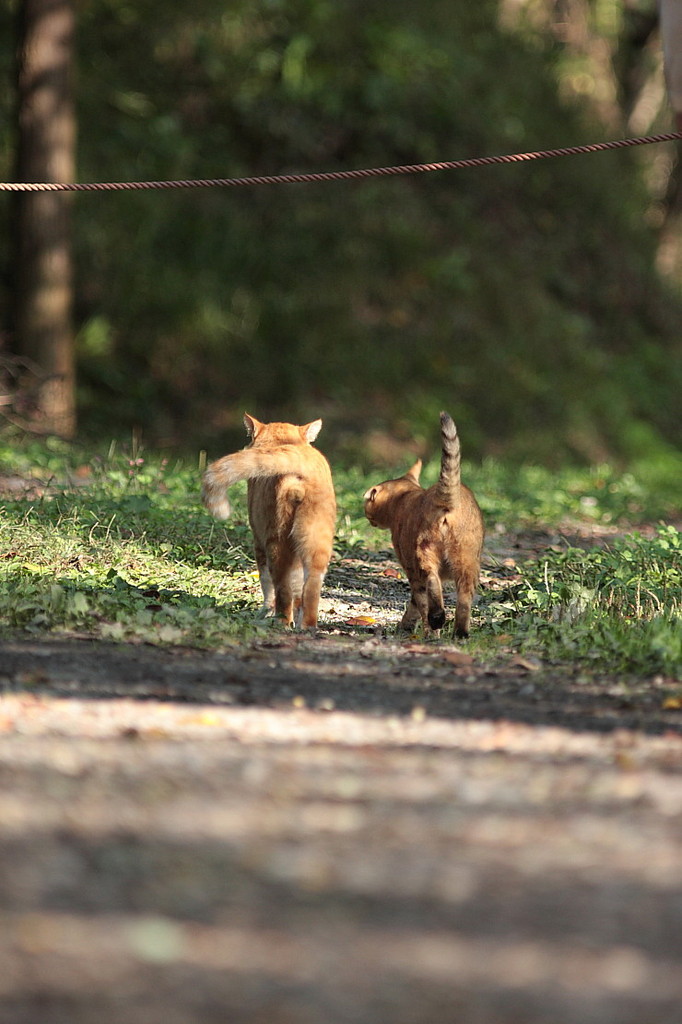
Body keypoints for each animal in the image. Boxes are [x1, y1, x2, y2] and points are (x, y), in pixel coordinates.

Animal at [201, 411, 337, 626]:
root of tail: (301, 462)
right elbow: (298, 588)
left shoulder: (258, 538)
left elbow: (267, 585)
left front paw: (265, 612)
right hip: (317, 541)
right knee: (310, 589)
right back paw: (306, 626)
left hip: (275, 542)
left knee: (282, 590)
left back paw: (279, 623)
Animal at [360, 411, 483, 634]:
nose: (368, 517)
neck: (405, 497)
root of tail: (445, 500)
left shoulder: (411, 567)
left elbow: (417, 602)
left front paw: (408, 626)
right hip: (468, 560)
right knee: (463, 601)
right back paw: (460, 633)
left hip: (423, 553)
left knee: (432, 587)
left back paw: (434, 625)